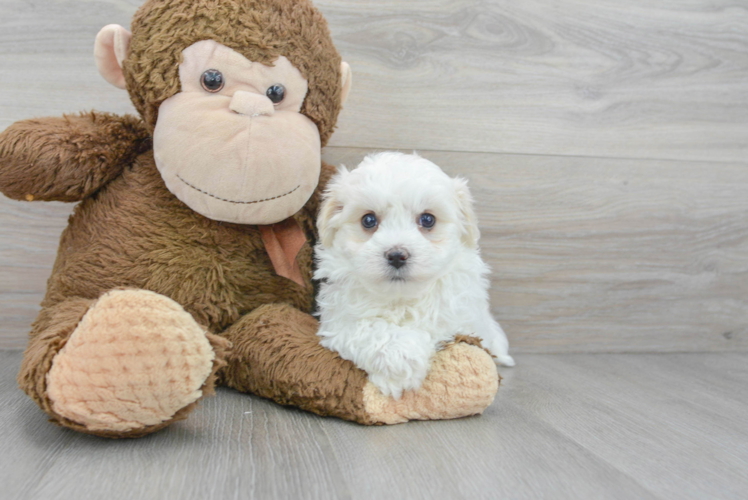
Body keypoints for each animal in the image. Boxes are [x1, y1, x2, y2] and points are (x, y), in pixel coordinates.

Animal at [312, 152, 516, 398]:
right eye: (368, 220)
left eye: (428, 219)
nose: (397, 255)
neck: (402, 298)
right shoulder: (339, 318)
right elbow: (369, 327)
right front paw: (401, 363)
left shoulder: (457, 317)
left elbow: (436, 331)